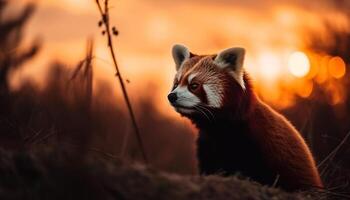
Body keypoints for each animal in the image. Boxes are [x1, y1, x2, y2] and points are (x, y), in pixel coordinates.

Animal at [167, 44, 322, 191]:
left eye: (194, 85)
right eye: (176, 84)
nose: (172, 96)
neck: (218, 128)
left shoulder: (257, 143)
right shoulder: (207, 144)